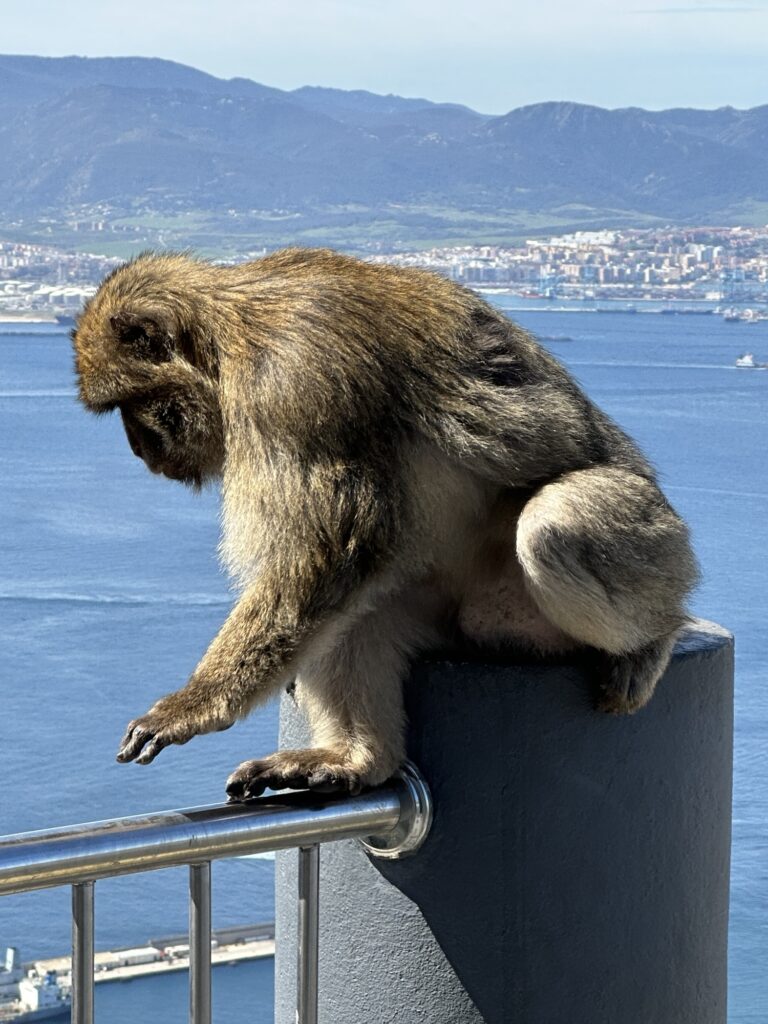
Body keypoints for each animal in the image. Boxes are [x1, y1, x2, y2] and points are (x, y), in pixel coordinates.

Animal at [72, 248, 698, 800]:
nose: (138, 447)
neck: (229, 339)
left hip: (648, 549)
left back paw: (653, 640)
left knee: (553, 525)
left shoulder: (296, 381)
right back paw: (354, 759)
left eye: (128, 404)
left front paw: (193, 707)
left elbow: (331, 548)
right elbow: (339, 563)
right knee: (360, 613)